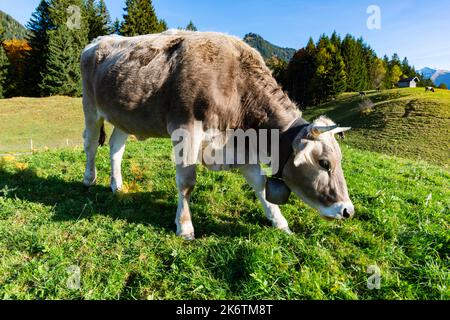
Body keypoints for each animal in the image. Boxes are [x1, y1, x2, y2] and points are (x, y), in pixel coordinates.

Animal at [81, 30, 356, 240]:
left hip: (124, 116)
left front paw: (279, 221)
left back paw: (117, 185)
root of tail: (99, 39)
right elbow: (187, 183)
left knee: (116, 147)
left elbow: (260, 185)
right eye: (324, 163)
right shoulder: (186, 130)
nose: (348, 211)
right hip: (91, 107)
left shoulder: (241, 147)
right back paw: (89, 179)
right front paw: (185, 227)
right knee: (91, 144)